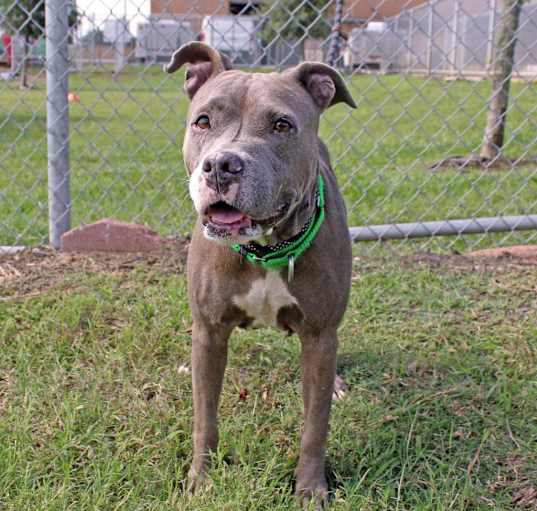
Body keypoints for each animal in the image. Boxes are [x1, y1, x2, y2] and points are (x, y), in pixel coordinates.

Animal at [164, 42, 356, 506]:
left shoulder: (320, 334)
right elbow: (205, 417)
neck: (267, 249)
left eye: (281, 125)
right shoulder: (210, 330)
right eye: (203, 121)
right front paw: (201, 480)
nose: (221, 165)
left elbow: (315, 425)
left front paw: (310, 489)